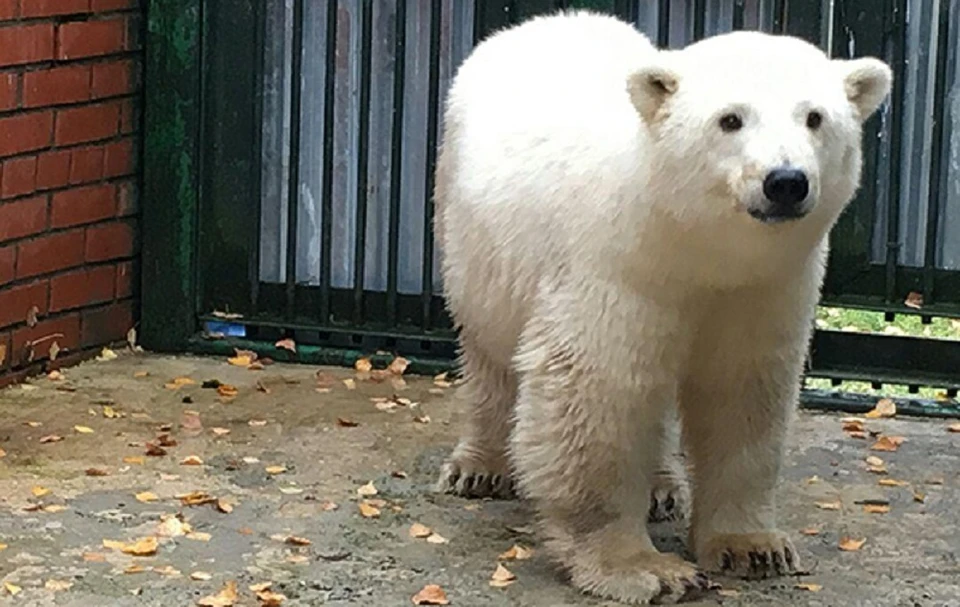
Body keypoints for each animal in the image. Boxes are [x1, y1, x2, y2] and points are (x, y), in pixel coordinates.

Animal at [432, 8, 888, 604]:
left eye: (815, 117)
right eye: (730, 119)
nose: (785, 182)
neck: (690, 241)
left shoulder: (767, 288)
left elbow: (743, 394)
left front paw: (753, 547)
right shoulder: (618, 266)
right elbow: (600, 394)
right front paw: (644, 568)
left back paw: (661, 487)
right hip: (471, 236)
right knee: (489, 351)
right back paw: (479, 467)